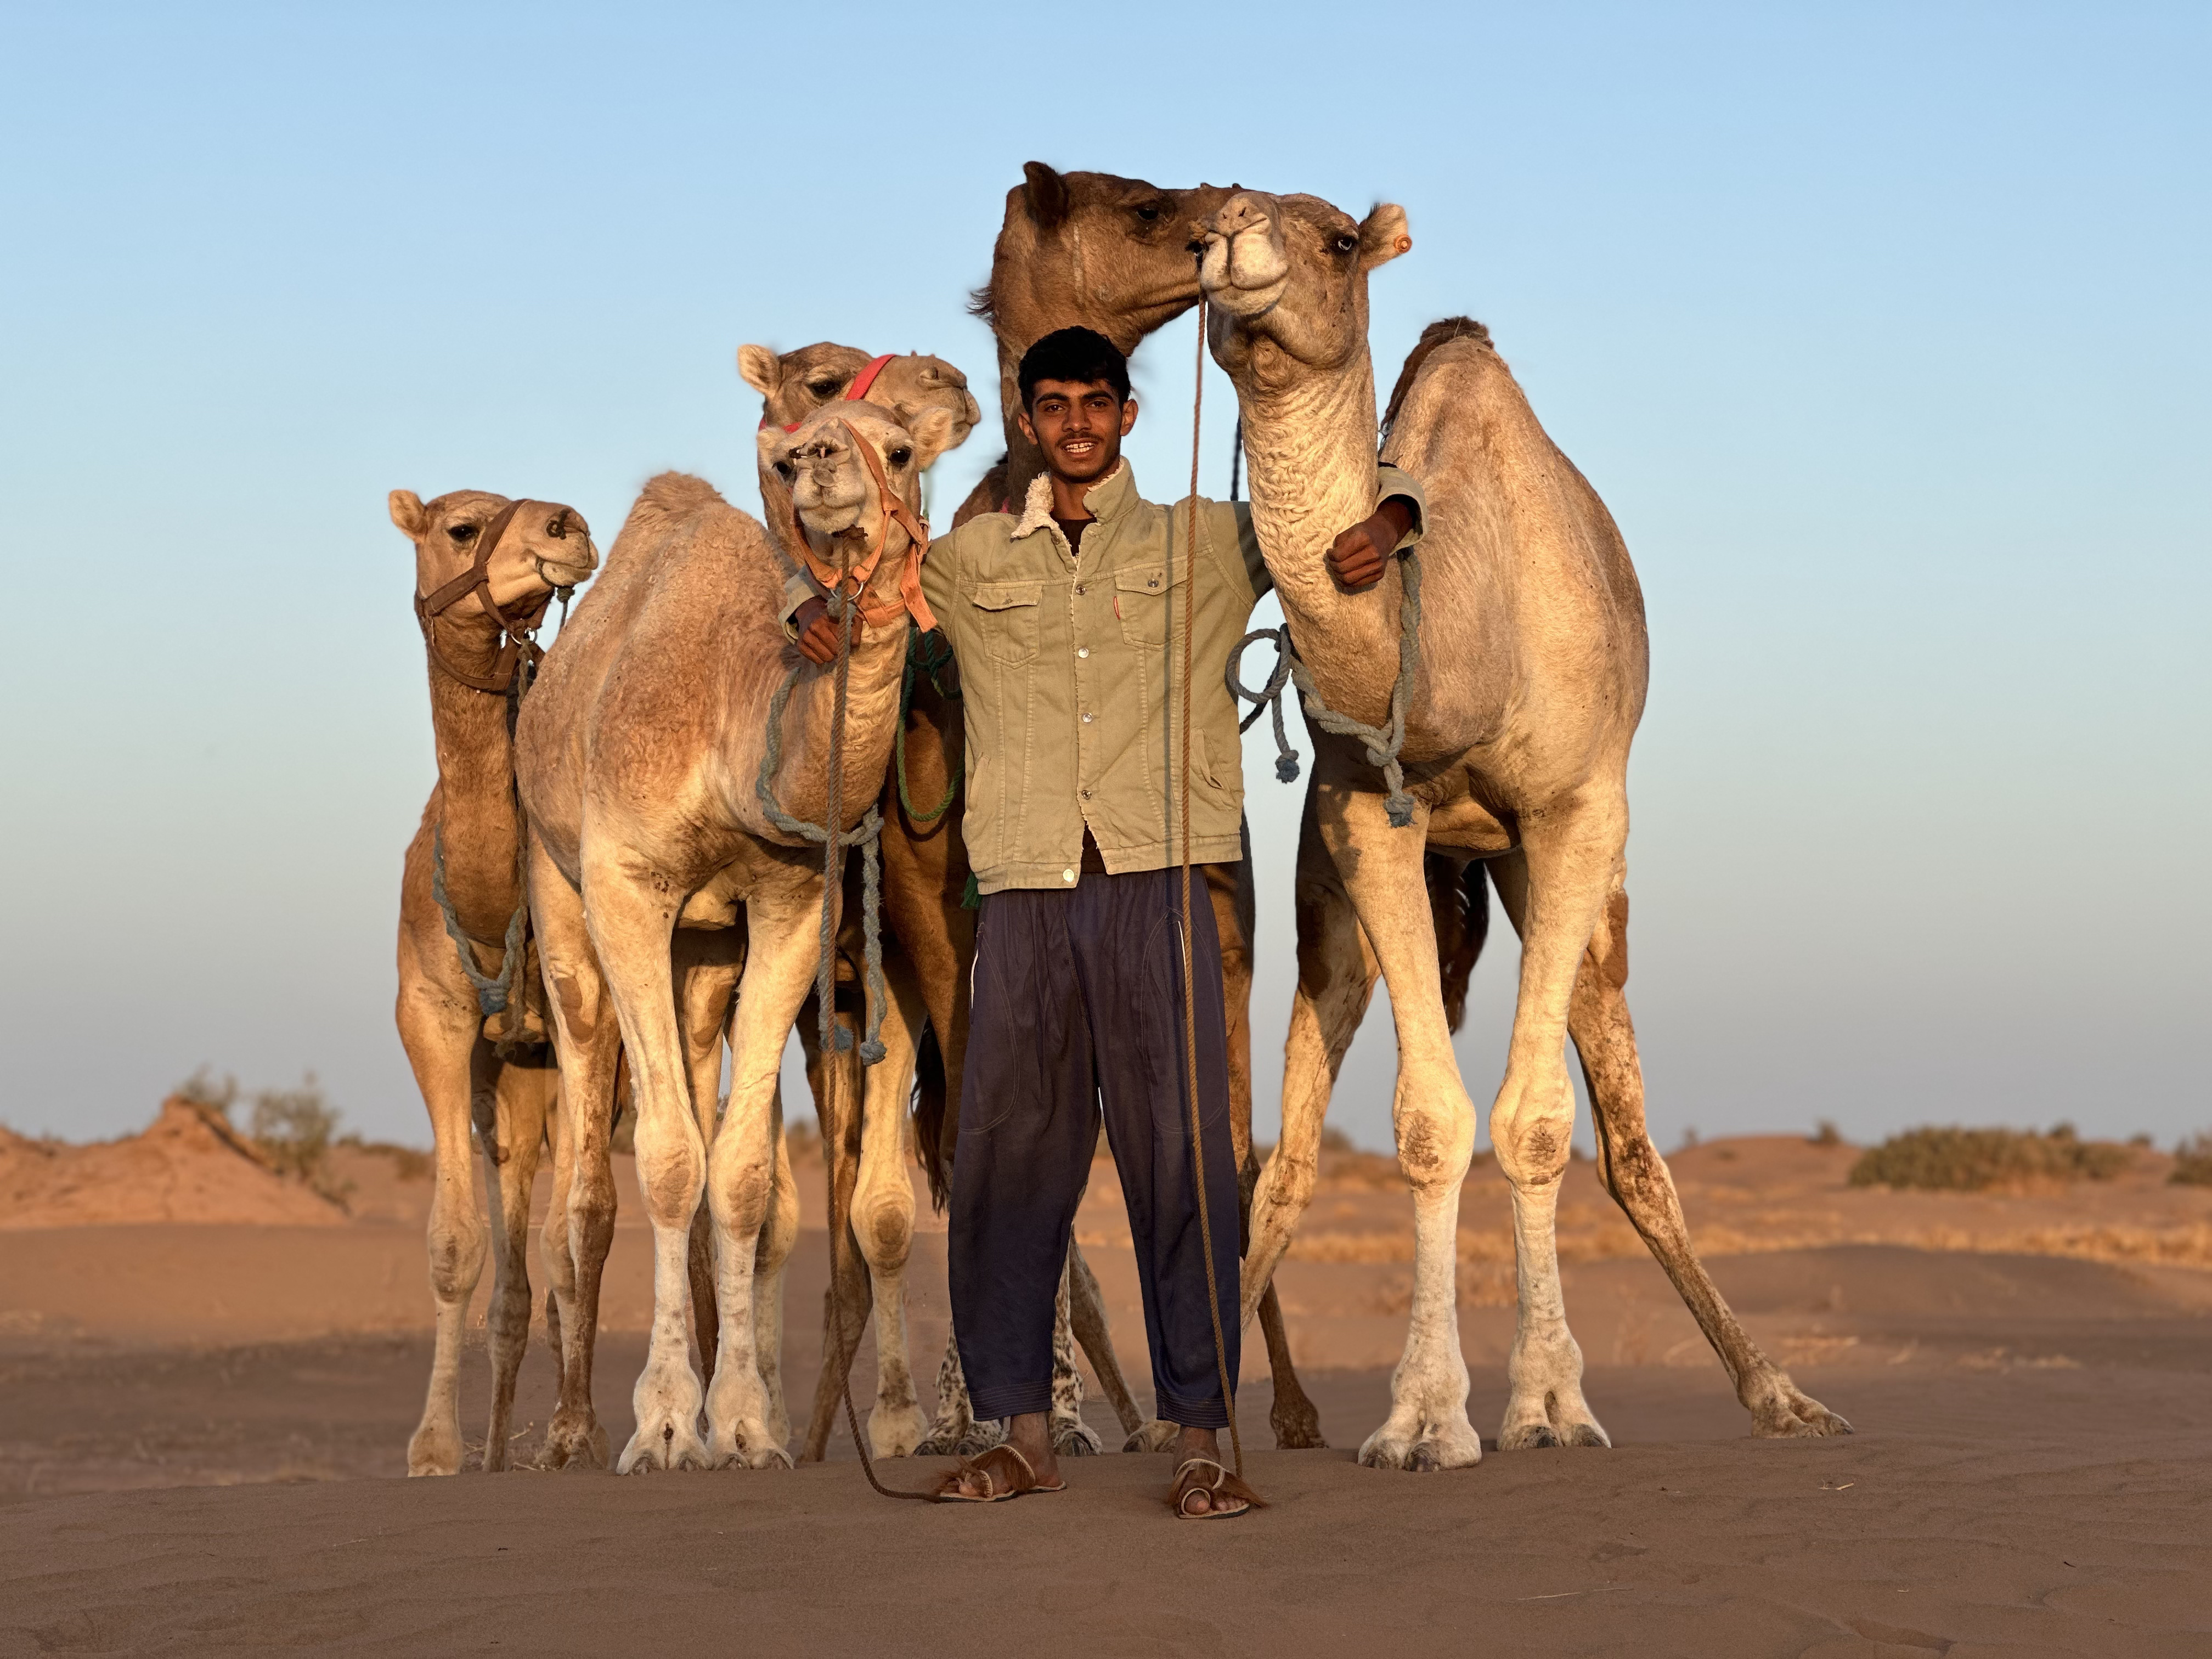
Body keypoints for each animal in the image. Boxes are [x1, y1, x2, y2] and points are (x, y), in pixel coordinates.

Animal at [516, 398, 961, 1471]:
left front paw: (748, 1423)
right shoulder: (626, 882)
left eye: (901, 450)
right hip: (559, 890)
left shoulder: (793, 900)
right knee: (586, 1170)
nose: (826, 465)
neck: (735, 720)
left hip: (707, 952)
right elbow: (670, 1160)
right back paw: (571, 1429)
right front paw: (668, 1422)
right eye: (793, 456)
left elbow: (746, 1172)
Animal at [1197, 190, 1850, 1468]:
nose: (1228, 232)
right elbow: (1428, 1122)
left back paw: (1775, 1393)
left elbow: (1540, 1125)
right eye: (1205, 216)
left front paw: (1543, 1401)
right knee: (1284, 1157)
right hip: (1334, 912)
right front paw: (1422, 1416)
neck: (1461, 628)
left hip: (1584, 893)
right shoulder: (1365, 815)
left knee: (1634, 1147)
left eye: (1335, 237)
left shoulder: (1578, 810)